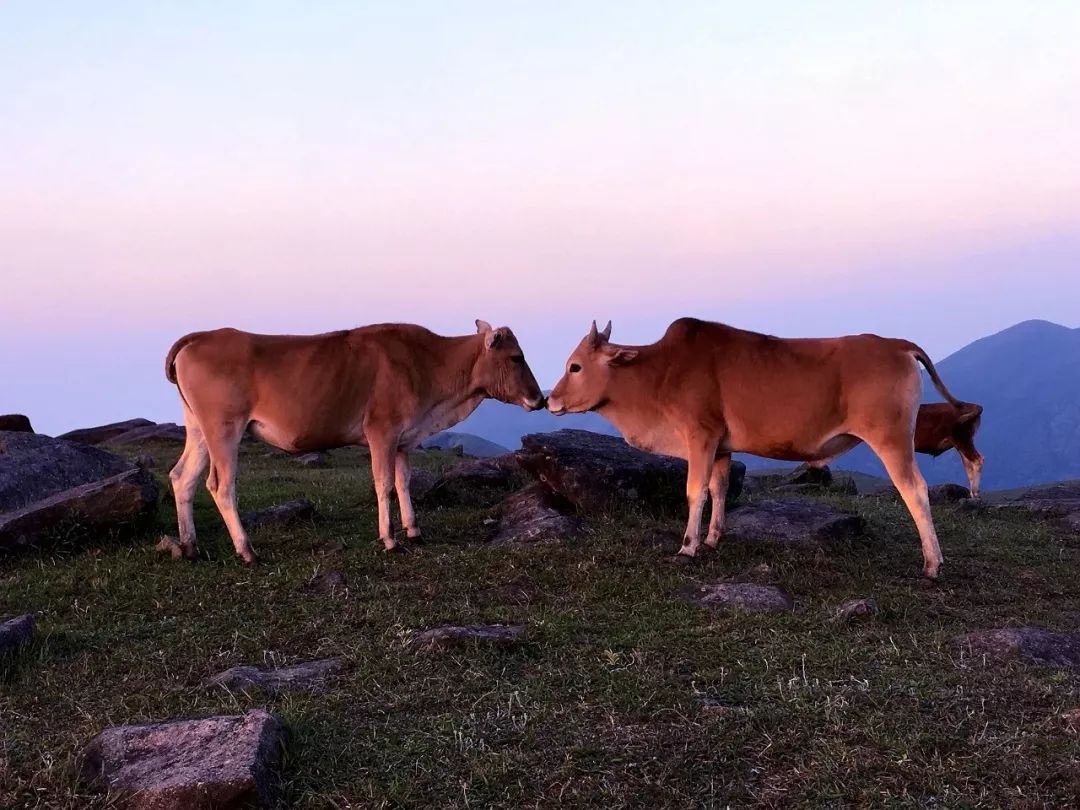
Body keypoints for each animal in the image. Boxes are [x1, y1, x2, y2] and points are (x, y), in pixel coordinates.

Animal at [163, 319, 544, 565]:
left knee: (182, 477)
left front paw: (414, 531)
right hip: (224, 427)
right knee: (220, 485)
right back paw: (246, 550)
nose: (540, 399)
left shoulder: (404, 439)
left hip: (199, 429)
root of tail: (200, 337)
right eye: (516, 357)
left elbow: (404, 482)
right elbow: (384, 483)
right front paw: (390, 540)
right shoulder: (382, 430)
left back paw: (189, 546)